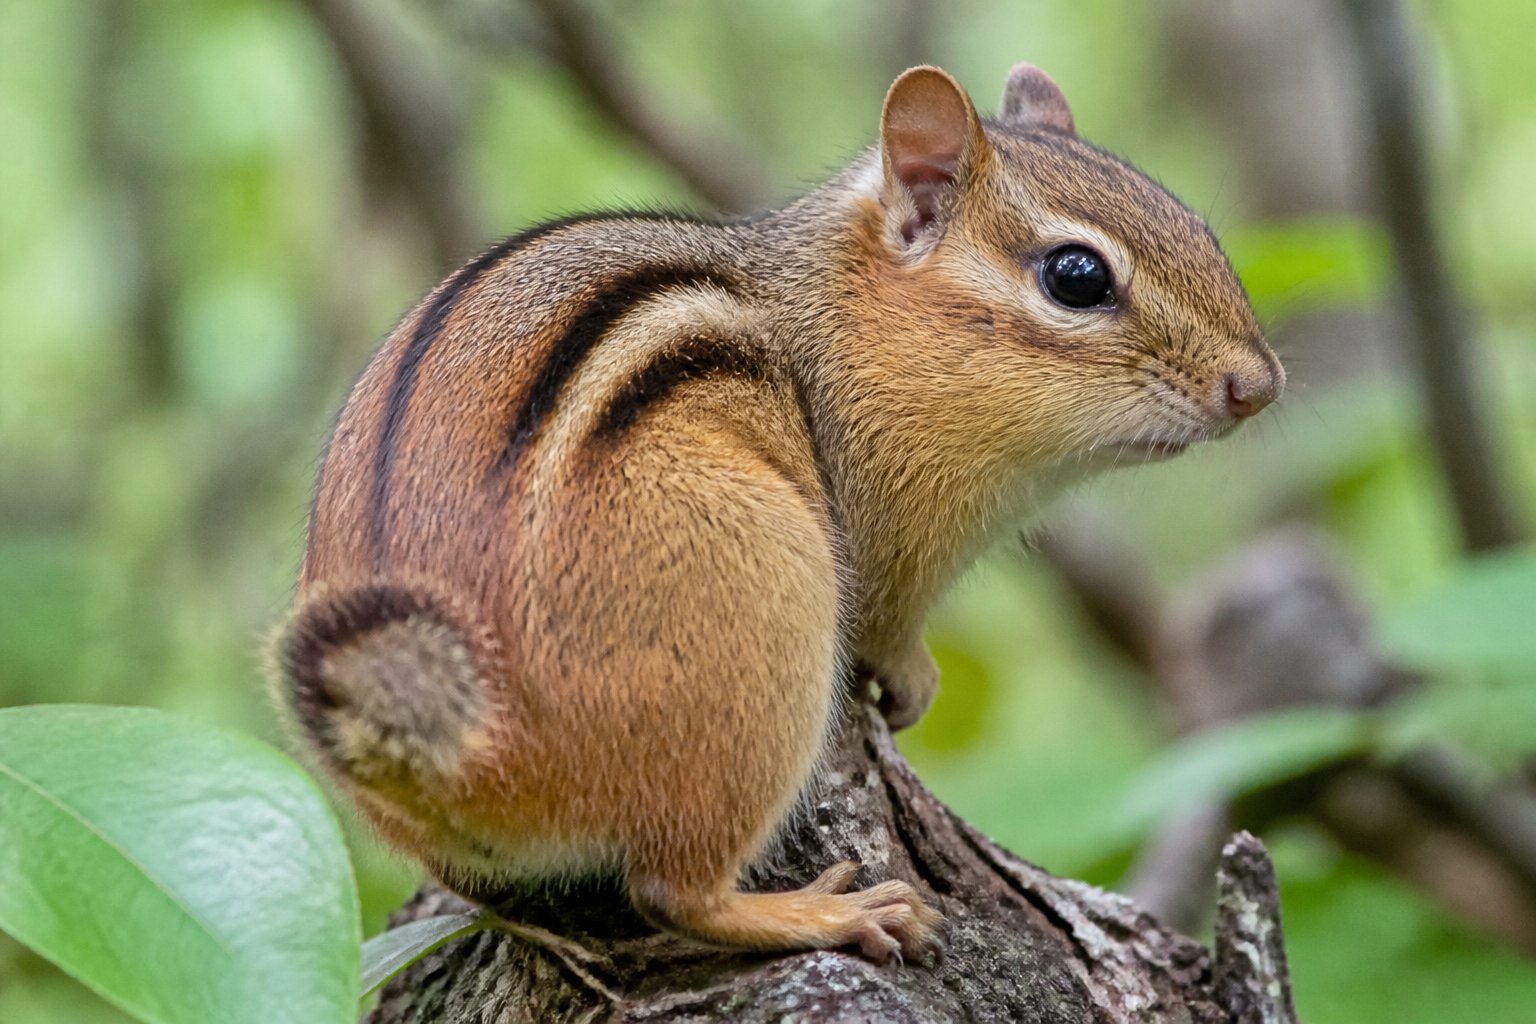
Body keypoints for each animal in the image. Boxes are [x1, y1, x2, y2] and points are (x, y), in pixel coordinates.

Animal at [273, 63, 1282, 963]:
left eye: (1198, 226)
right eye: (1076, 276)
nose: (1258, 385)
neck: (848, 320)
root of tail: (476, 748)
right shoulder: (885, 542)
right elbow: (887, 623)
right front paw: (910, 679)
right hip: (770, 599)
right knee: (672, 890)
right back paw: (833, 914)